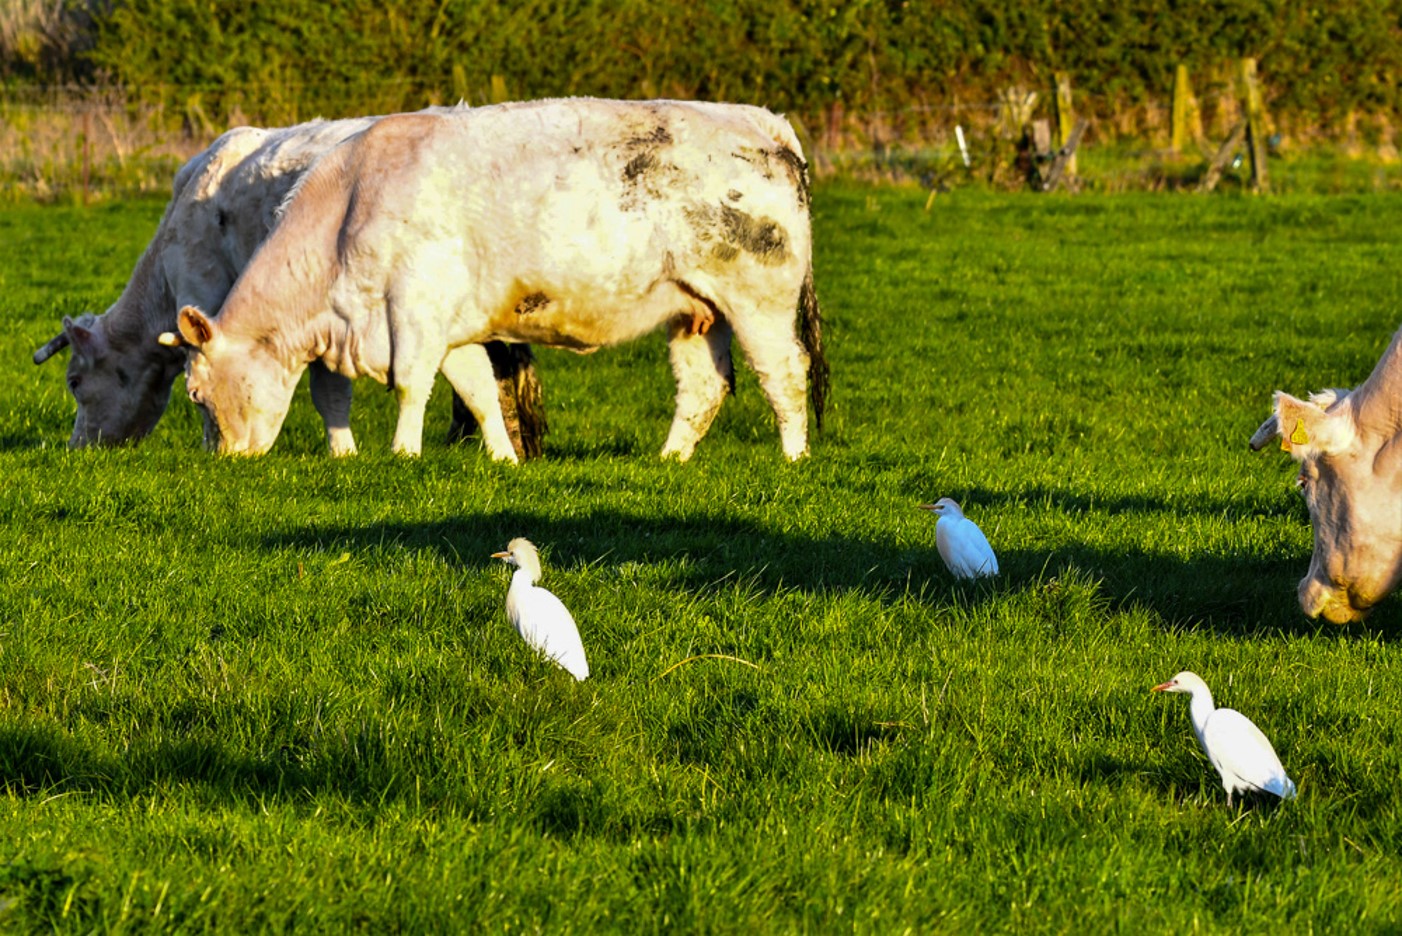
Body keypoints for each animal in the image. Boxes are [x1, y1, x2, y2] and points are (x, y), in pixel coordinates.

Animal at [160, 100, 824, 462]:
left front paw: (404, 453)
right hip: (697, 311)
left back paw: (794, 457)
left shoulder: (416, 310)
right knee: (703, 387)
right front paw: (504, 458)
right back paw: (669, 460)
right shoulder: (453, 328)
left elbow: (411, 386)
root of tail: (760, 122)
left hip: (760, 300)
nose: (225, 459)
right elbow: (478, 389)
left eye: (194, 394)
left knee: (785, 374)